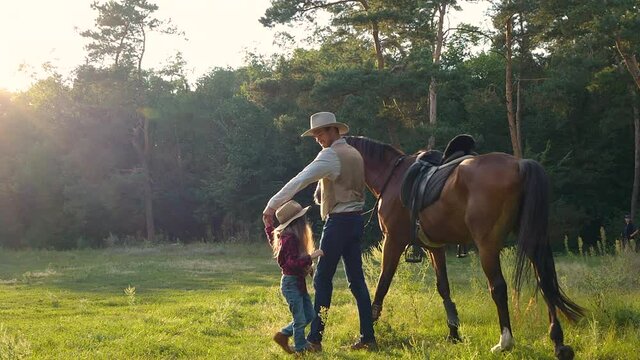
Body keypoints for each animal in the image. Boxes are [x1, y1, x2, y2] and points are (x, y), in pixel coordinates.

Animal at [344, 136, 584, 360]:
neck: (392, 176)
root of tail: (520, 164)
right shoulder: (435, 247)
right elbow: (444, 288)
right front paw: (453, 333)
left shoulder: (393, 241)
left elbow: (382, 284)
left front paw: (368, 334)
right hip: (531, 239)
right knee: (545, 282)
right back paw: (559, 344)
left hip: (487, 245)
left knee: (498, 287)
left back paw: (505, 342)